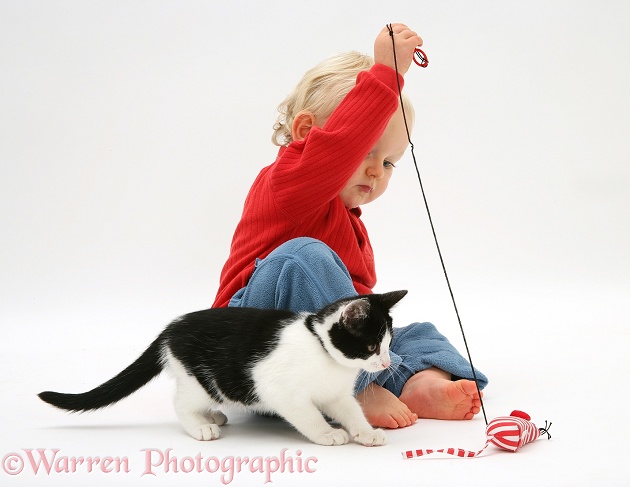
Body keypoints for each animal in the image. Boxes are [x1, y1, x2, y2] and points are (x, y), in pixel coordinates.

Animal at [39, 292, 408, 448]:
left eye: (388, 343)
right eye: (371, 347)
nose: (386, 362)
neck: (323, 351)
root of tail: (170, 329)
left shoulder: (337, 395)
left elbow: (352, 412)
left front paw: (366, 432)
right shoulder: (278, 389)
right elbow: (308, 415)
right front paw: (327, 434)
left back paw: (212, 415)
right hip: (200, 378)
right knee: (181, 402)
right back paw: (201, 426)